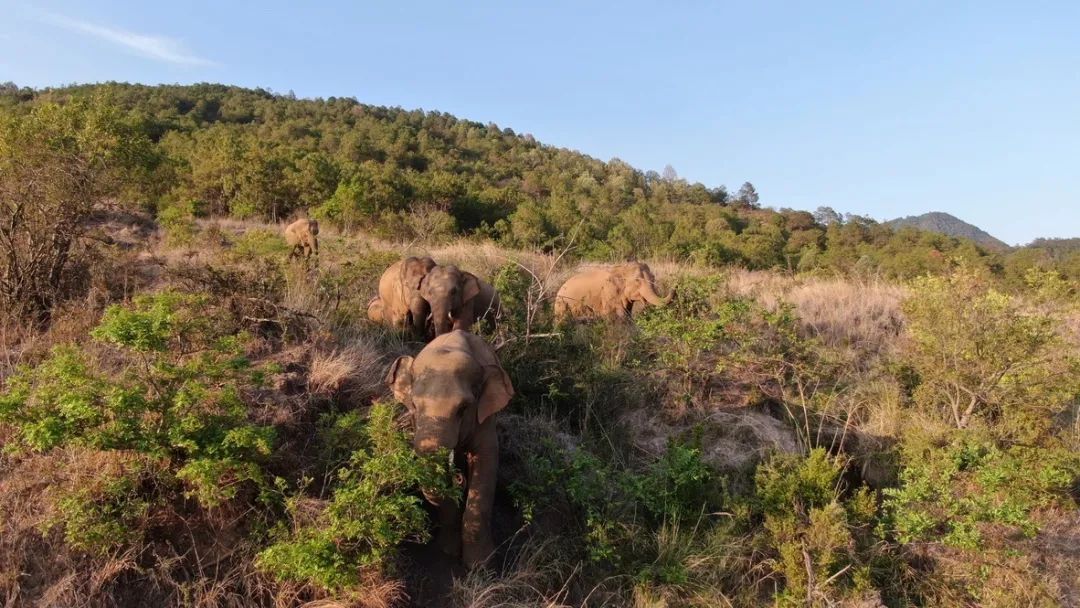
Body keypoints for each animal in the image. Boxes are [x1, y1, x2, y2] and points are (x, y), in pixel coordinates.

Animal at [386, 330, 516, 570]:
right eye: (414, 406)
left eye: (463, 409)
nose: (457, 481)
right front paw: (449, 551)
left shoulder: (484, 419)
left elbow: (486, 461)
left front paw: (481, 565)